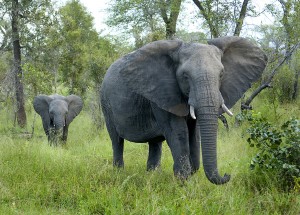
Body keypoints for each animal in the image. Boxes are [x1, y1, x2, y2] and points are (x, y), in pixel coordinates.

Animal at [101, 36, 268, 184]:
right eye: (185, 76)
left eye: (221, 74)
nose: (227, 175)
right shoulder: (162, 93)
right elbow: (178, 132)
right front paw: (182, 180)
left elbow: (194, 133)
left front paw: (188, 175)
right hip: (105, 104)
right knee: (116, 140)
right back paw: (119, 173)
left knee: (155, 143)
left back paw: (153, 176)